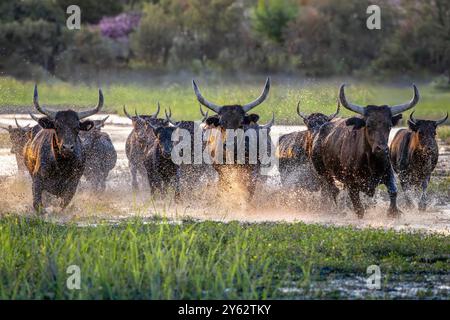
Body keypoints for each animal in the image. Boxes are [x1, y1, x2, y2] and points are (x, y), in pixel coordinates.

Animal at [312, 84, 420, 218]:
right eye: (368, 125)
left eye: (389, 125)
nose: (381, 149)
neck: (370, 162)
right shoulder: (352, 184)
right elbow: (359, 208)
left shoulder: (388, 173)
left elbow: (393, 191)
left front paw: (394, 212)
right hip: (323, 172)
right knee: (333, 190)